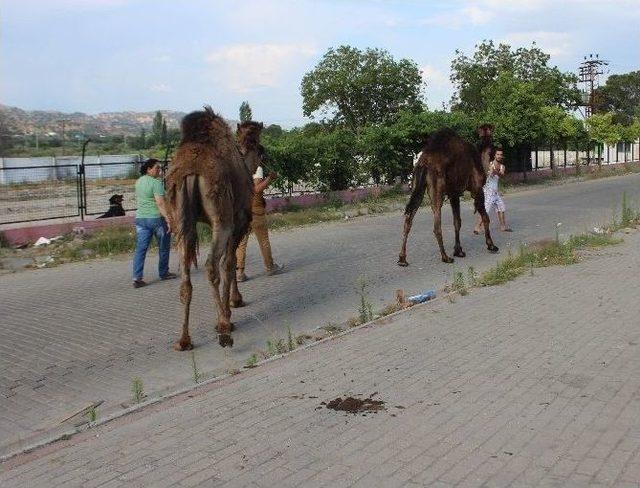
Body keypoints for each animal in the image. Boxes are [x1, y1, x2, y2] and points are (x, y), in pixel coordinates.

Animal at [168, 108, 262, 348]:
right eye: (261, 149)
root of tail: (191, 171)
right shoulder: (238, 223)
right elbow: (229, 263)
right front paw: (233, 305)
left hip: (179, 222)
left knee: (185, 276)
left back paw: (183, 340)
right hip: (222, 220)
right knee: (211, 266)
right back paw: (224, 329)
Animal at [396, 124, 500, 264]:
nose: (498, 153)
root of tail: (424, 162)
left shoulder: (454, 194)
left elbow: (457, 221)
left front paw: (459, 251)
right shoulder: (477, 189)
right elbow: (485, 217)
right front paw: (491, 245)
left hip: (417, 186)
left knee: (408, 220)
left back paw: (402, 258)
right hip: (437, 186)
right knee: (436, 223)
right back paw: (445, 257)